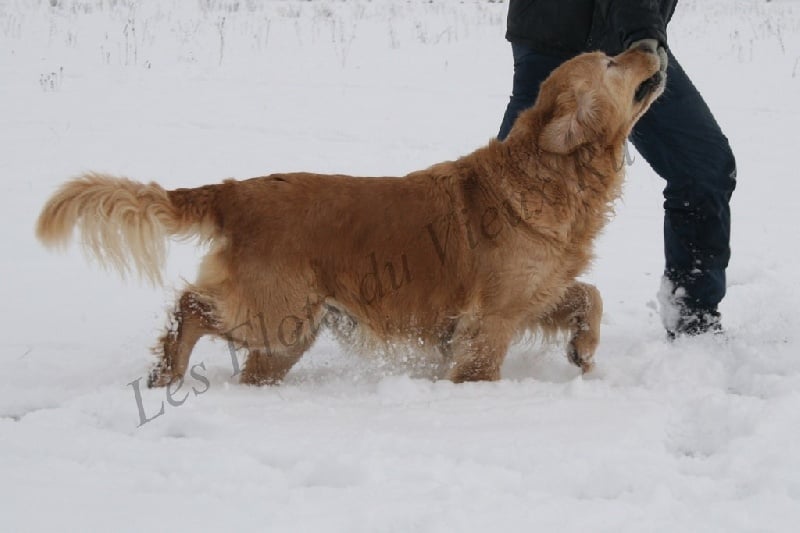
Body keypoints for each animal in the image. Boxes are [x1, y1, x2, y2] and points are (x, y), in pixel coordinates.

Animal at [36, 44, 664, 386]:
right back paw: (167, 372)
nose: (651, 43)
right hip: (280, 317)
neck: (551, 175)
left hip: (288, 336)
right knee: (190, 306)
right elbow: (480, 369)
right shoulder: (490, 319)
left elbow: (589, 295)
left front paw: (584, 349)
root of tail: (236, 192)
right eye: (612, 61)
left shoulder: (533, 295)